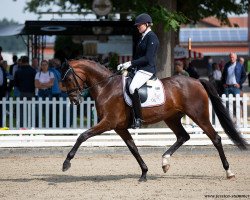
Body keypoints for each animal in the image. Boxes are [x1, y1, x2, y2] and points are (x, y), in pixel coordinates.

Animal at [61, 58, 248, 182]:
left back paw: (229, 172)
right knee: (183, 136)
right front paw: (144, 173)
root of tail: (197, 81)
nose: (74, 100)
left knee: (216, 138)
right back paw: (165, 162)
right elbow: (133, 148)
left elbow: (83, 136)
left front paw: (66, 163)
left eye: (68, 79)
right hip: (172, 118)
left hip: (199, 116)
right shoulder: (120, 127)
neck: (106, 87)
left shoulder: (108, 123)